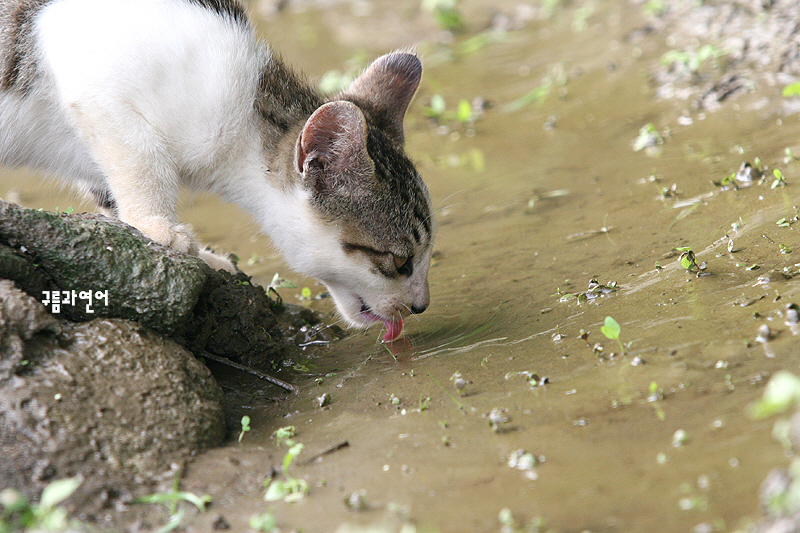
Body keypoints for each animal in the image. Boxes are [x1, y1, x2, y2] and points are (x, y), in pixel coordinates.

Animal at [0, 0, 432, 340]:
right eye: (400, 262)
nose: (421, 305)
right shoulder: (86, 63)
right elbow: (140, 155)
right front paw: (156, 226)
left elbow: (106, 185)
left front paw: (207, 259)